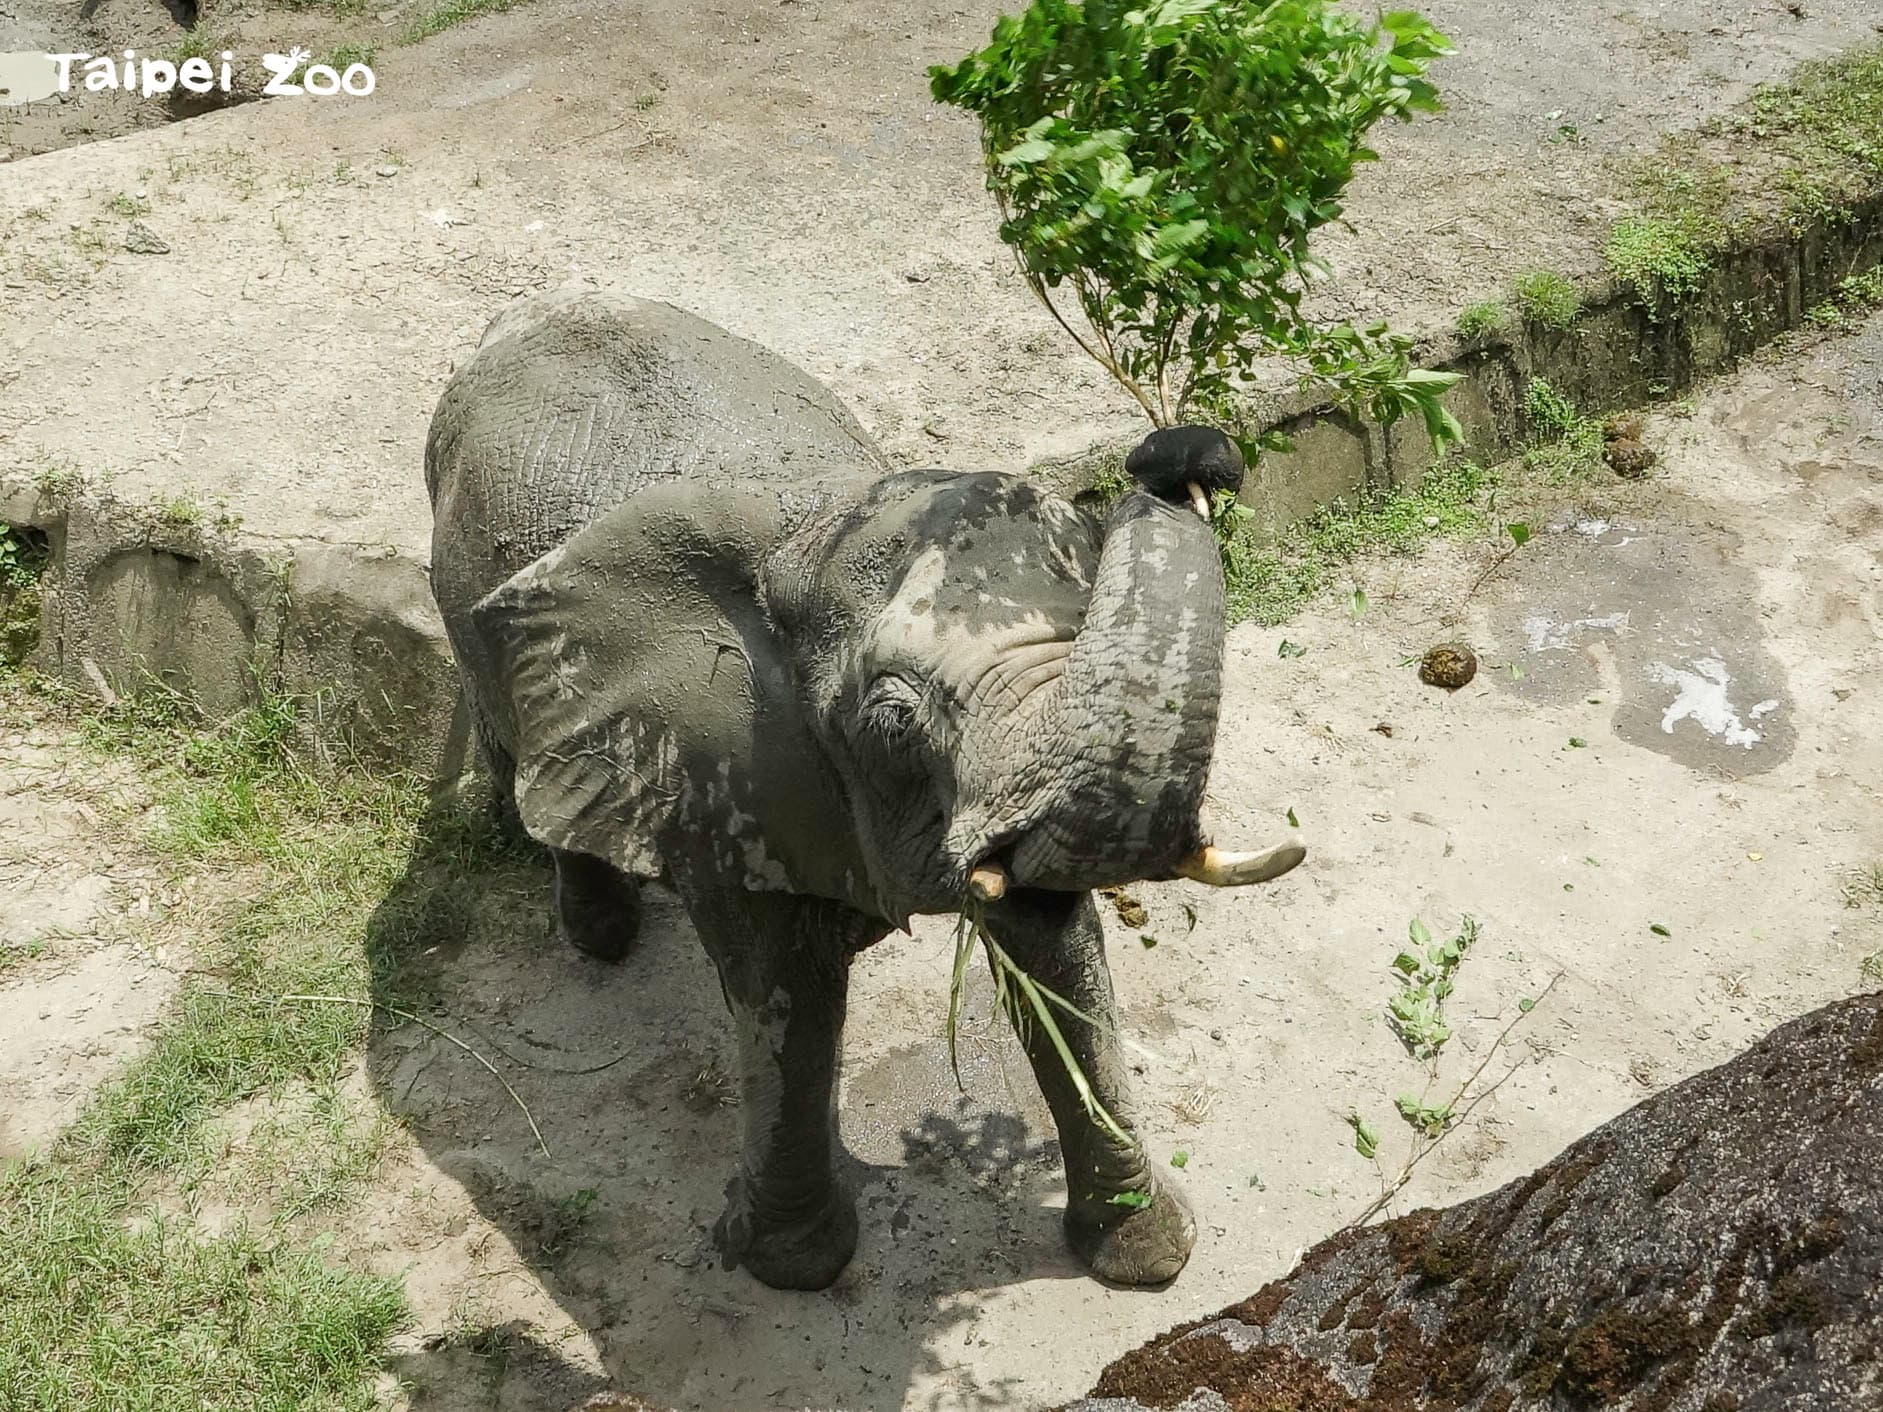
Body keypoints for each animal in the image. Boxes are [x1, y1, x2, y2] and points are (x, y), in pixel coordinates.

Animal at [424, 291, 1303, 1291]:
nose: (1178, 454)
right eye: (890, 723)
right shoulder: (729, 767)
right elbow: (790, 994)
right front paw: (791, 1267)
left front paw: (1144, 1257)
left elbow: (1055, 950)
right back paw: (601, 937)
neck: (811, 520)